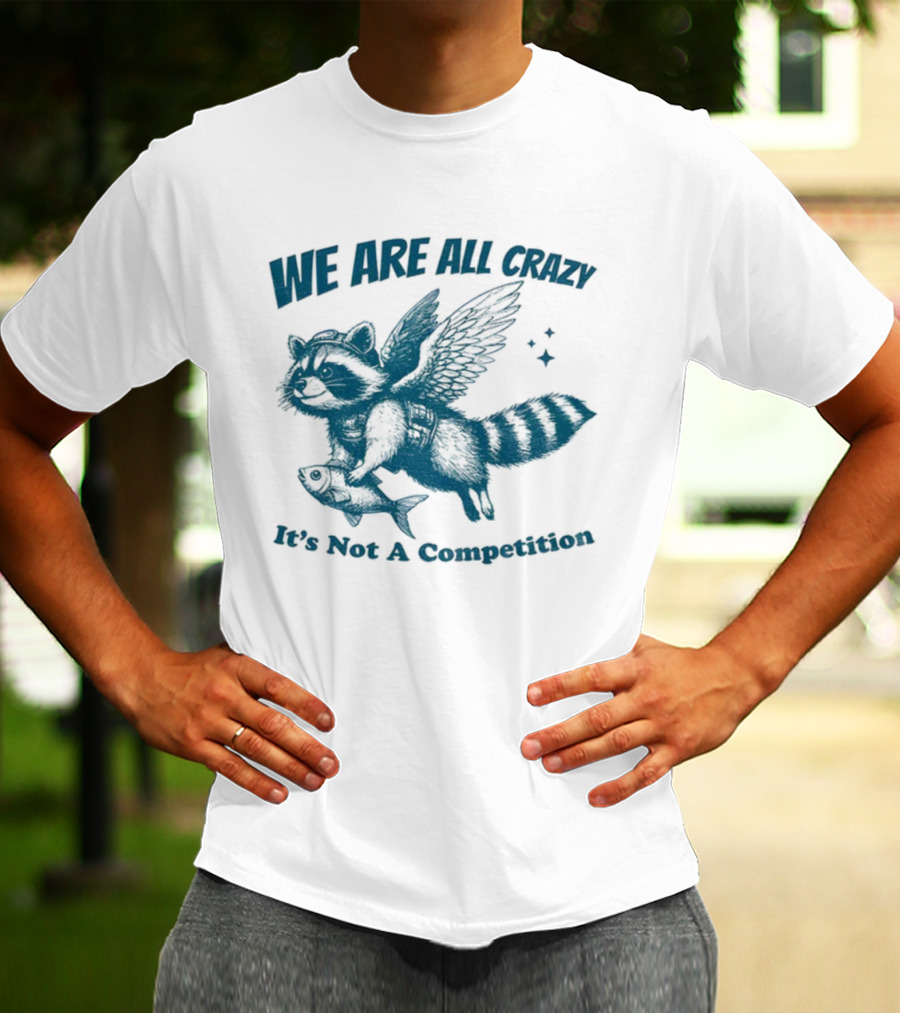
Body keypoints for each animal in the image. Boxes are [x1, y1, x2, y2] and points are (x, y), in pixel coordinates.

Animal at [278, 281, 595, 523]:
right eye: (299, 372)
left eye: (326, 371)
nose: (300, 385)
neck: (349, 408)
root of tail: (469, 430)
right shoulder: (338, 424)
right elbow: (342, 450)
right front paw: (336, 464)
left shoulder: (387, 410)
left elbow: (384, 443)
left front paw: (364, 467)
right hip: (426, 467)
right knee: (451, 482)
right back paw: (466, 498)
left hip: (450, 448)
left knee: (469, 474)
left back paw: (480, 491)